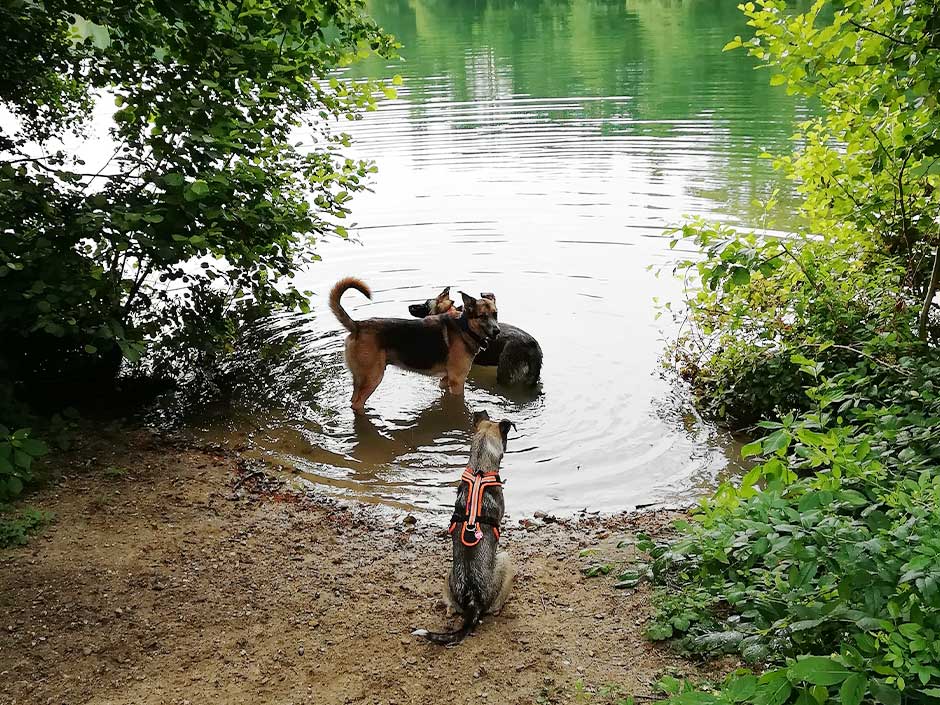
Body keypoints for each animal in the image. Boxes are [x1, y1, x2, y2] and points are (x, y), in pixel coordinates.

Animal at [330, 276, 500, 412]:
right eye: (482, 316)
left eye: (495, 314)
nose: (497, 331)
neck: (465, 326)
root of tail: (357, 326)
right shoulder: (457, 381)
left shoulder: (445, 381)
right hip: (373, 378)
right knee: (357, 404)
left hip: (360, 379)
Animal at [412, 410, 516, 648]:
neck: (479, 469)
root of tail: (472, 601)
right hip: (506, 560)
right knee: (495, 608)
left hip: (447, 575)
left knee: (450, 608)